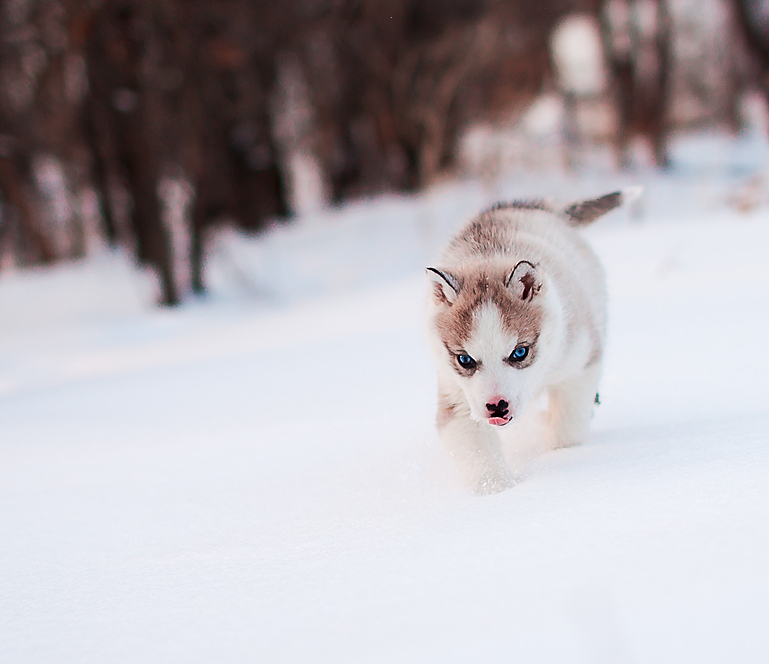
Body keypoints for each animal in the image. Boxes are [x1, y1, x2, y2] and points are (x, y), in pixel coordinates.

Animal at [424, 189, 632, 490]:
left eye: (519, 353)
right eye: (465, 359)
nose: (496, 406)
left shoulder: (579, 362)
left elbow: (567, 425)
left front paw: (560, 456)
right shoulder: (456, 396)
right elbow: (478, 455)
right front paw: (498, 489)